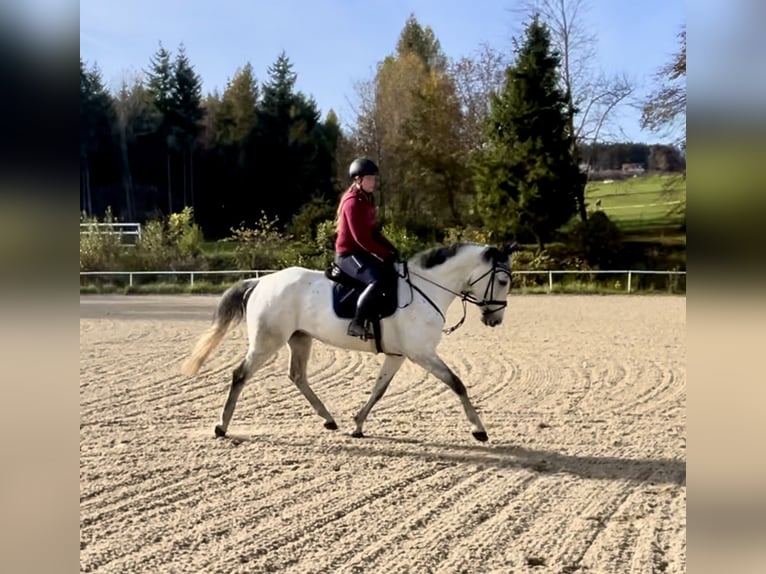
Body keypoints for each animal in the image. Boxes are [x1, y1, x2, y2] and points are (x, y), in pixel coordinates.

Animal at [181, 241, 516, 444]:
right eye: (502, 281)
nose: (495, 319)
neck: (427, 289)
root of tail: (261, 280)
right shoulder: (421, 353)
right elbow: (457, 383)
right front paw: (479, 430)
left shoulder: (398, 355)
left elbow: (379, 390)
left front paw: (357, 424)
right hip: (267, 341)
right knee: (240, 375)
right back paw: (221, 427)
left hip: (299, 339)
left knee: (297, 376)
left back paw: (329, 419)